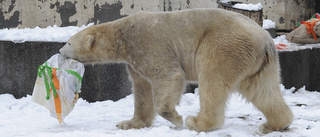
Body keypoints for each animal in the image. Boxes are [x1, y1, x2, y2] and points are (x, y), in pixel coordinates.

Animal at [59, 8, 292, 133]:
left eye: (69, 42)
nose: (60, 51)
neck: (122, 35)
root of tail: (266, 41)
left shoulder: (146, 43)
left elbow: (169, 75)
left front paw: (176, 118)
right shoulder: (134, 60)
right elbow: (142, 88)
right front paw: (129, 123)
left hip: (224, 47)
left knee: (212, 81)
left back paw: (196, 122)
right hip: (259, 64)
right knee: (263, 91)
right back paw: (274, 124)